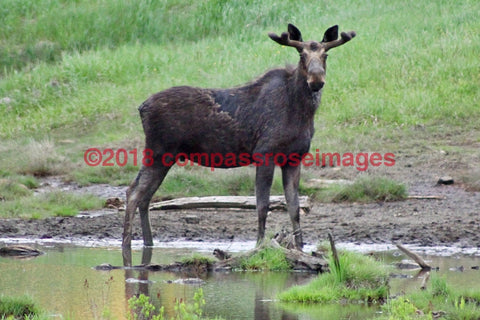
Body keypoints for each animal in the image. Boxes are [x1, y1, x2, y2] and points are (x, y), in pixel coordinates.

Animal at [123, 23, 356, 258]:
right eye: (301, 54)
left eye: (325, 54)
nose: (316, 80)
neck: (301, 112)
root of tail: (141, 107)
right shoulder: (264, 153)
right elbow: (262, 205)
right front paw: (260, 245)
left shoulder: (293, 158)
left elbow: (294, 207)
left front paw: (300, 247)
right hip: (159, 150)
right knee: (133, 192)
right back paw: (127, 246)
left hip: (166, 155)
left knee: (144, 196)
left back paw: (148, 243)